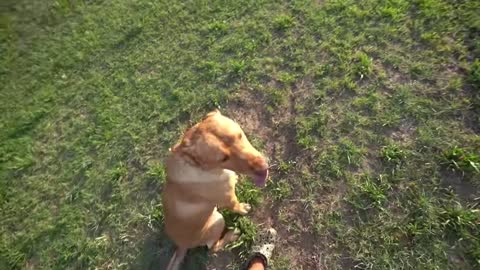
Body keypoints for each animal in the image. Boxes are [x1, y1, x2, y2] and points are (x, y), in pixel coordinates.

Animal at [162, 109, 268, 270]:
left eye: (239, 135)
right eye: (223, 158)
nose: (263, 169)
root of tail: (181, 245)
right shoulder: (229, 199)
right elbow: (236, 205)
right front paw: (243, 208)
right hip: (217, 219)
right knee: (213, 248)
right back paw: (232, 234)